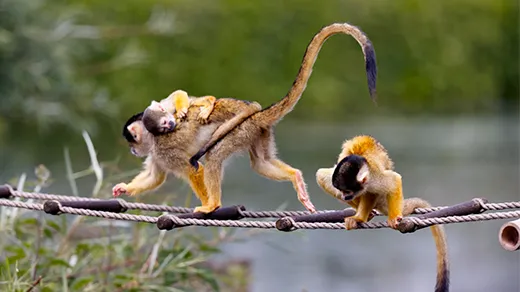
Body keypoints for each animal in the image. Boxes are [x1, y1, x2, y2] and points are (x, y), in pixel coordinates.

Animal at [142, 22, 378, 214]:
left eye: (165, 125)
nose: (136, 150)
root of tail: (257, 116)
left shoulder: (166, 151)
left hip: (241, 129)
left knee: (215, 154)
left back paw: (213, 203)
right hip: (257, 133)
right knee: (261, 162)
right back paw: (295, 176)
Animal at [314, 136, 448, 292]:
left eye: (347, 191)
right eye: (342, 190)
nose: (344, 196)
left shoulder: (374, 179)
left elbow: (394, 180)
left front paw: (393, 218)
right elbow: (320, 175)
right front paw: (359, 215)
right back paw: (362, 214)